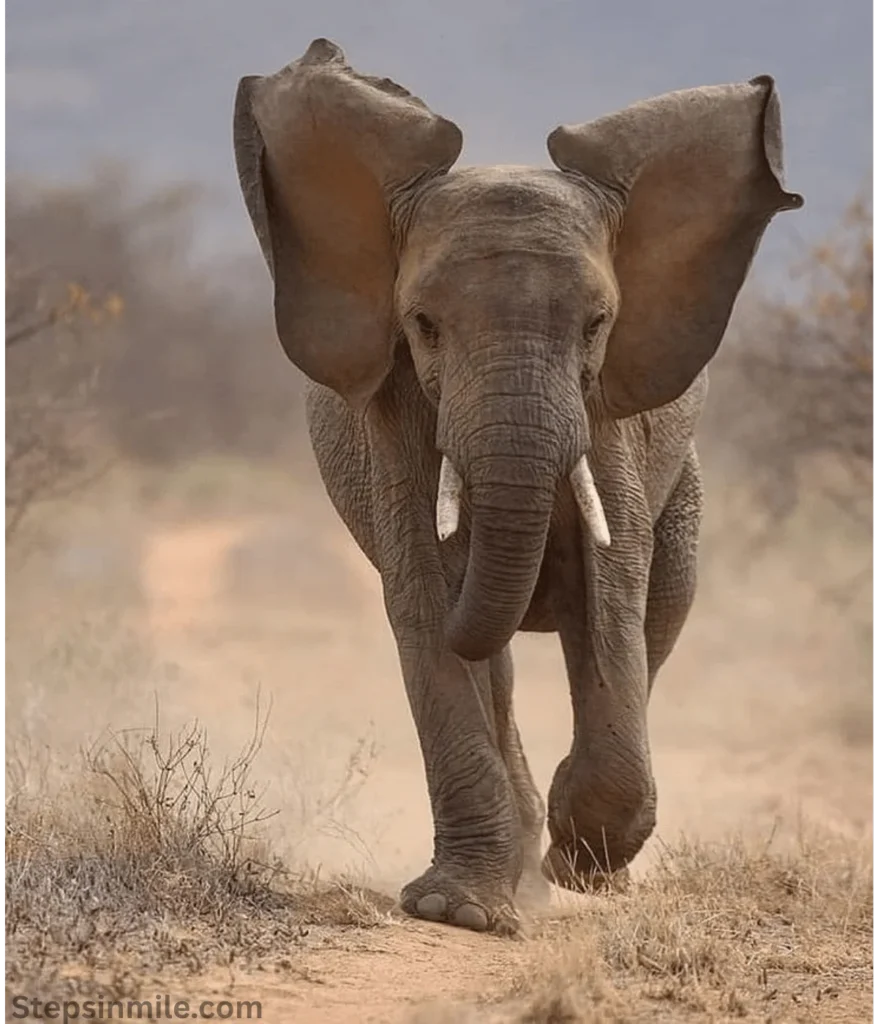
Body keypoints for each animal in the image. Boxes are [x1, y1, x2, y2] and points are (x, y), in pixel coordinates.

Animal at [232, 38, 802, 935]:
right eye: (424, 326)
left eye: (598, 326)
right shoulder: (397, 408)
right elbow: (423, 594)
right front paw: (459, 910)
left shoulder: (610, 420)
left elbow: (612, 587)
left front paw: (581, 862)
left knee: (662, 604)